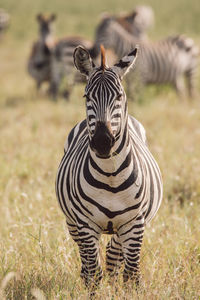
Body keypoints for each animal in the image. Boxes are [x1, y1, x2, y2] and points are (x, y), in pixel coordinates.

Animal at [55, 45, 162, 292]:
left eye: (120, 96)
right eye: (86, 96)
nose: (103, 142)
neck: (111, 175)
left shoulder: (135, 224)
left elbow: (131, 274)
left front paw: (126, 292)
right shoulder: (85, 224)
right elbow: (94, 273)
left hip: (125, 227)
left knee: (113, 254)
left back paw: (114, 286)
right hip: (73, 223)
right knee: (88, 261)